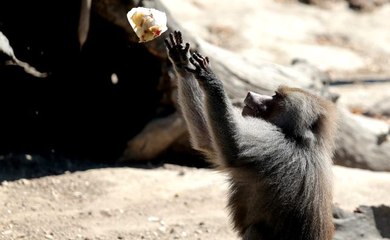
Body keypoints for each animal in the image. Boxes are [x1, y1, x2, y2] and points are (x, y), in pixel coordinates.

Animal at [165, 31, 338, 239]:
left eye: (276, 98)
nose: (250, 94)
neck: (301, 140)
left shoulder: (275, 143)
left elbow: (234, 150)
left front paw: (210, 80)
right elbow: (206, 139)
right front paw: (181, 61)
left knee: (256, 229)